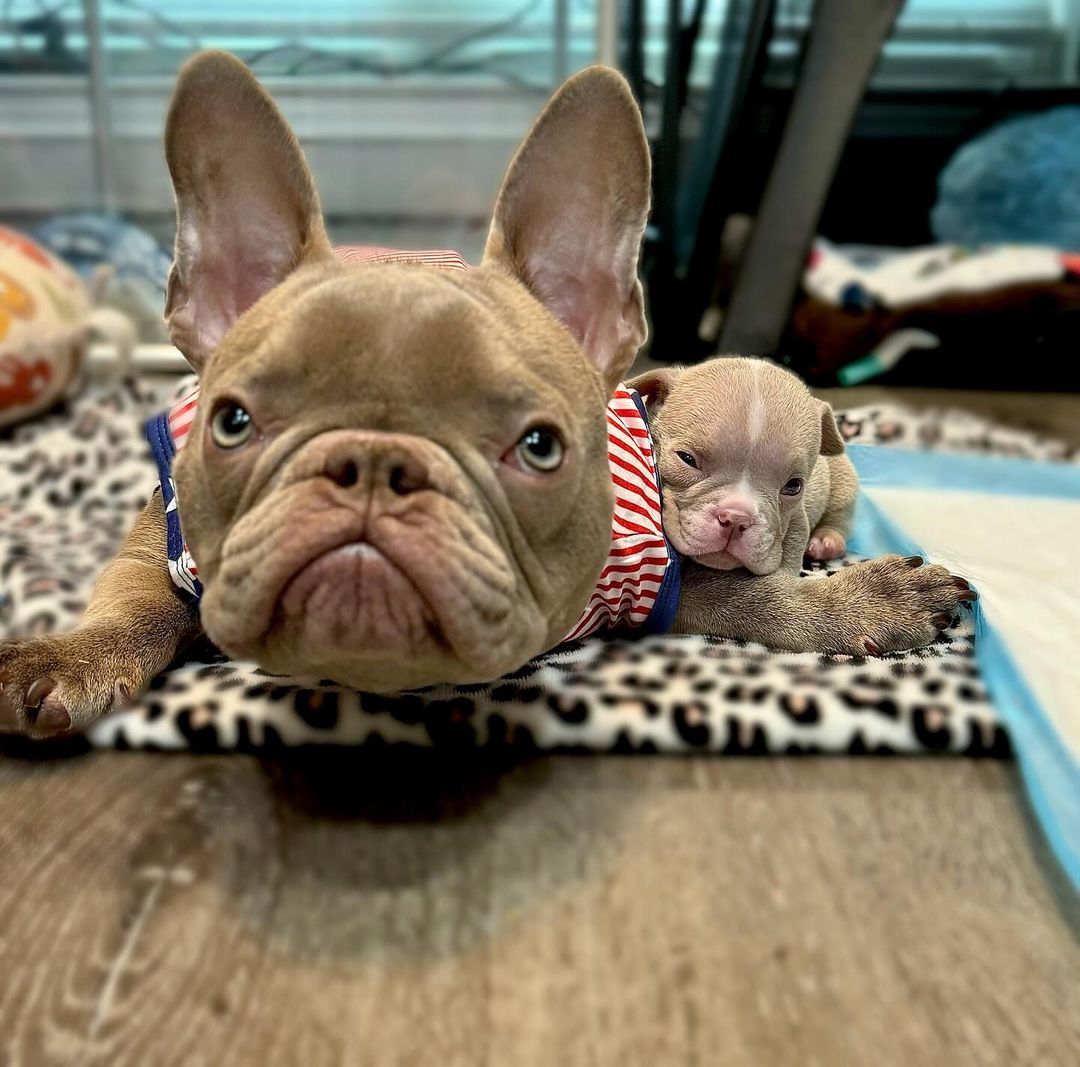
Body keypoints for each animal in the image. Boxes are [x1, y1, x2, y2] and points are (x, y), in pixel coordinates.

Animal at [630, 356, 855, 574]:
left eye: (794, 486)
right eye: (687, 459)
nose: (737, 518)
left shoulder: (797, 524)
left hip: (842, 478)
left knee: (840, 513)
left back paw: (826, 541)